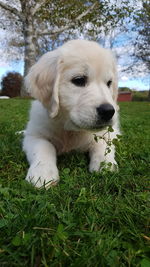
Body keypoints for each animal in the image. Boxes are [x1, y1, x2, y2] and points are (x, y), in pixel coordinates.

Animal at [22, 39, 120, 189]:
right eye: (79, 80)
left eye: (109, 83)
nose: (108, 111)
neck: (71, 129)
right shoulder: (34, 135)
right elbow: (44, 147)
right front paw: (42, 174)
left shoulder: (108, 133)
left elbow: (102, 145)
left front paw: (105, 166)